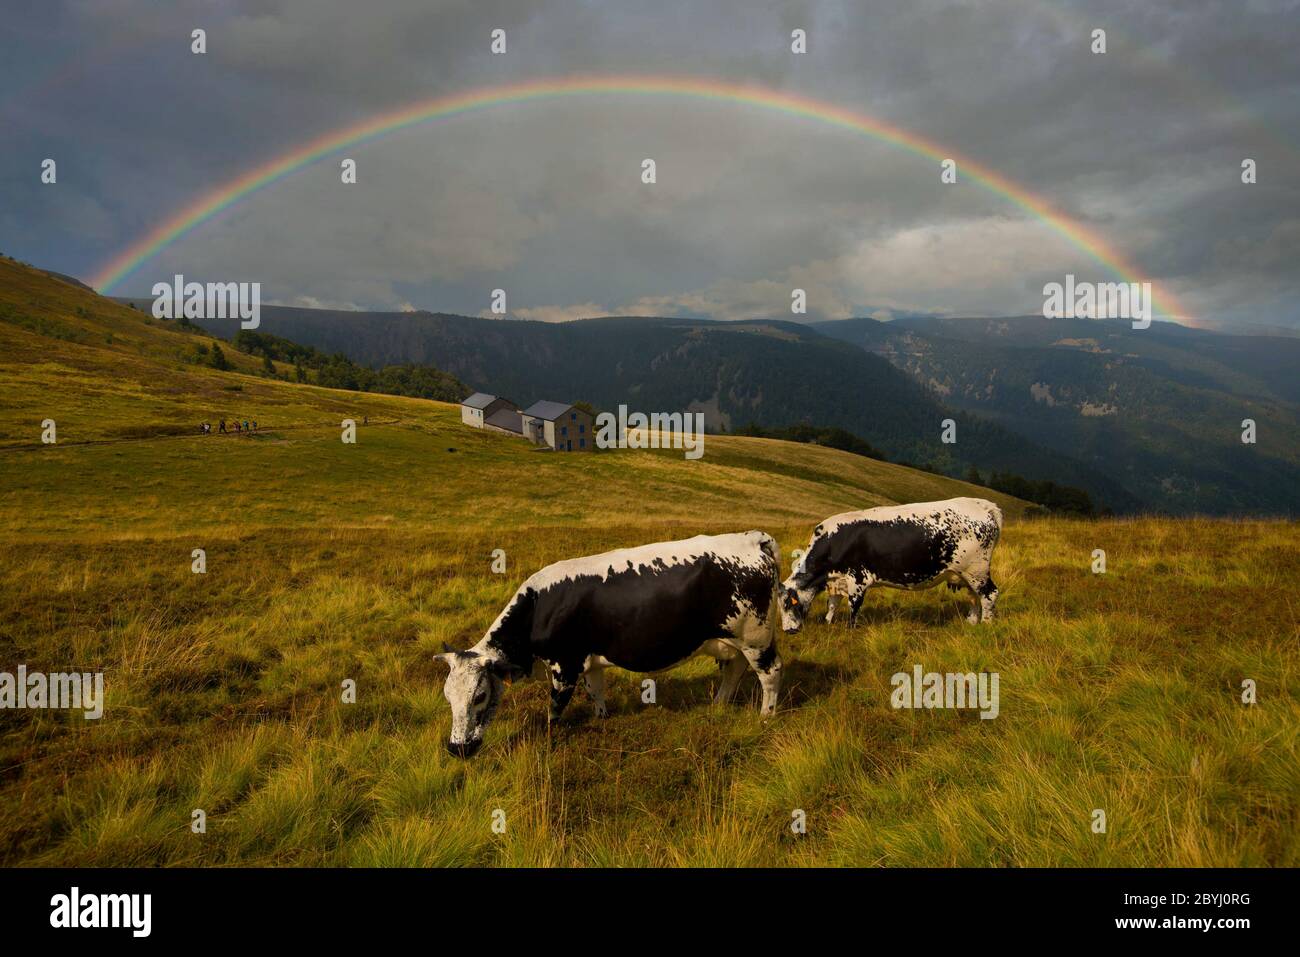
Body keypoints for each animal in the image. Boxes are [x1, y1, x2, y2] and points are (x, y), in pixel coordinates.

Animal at [436, 530, 780, 754]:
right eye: (448, 697)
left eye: (479, 696)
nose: (456, 749)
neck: (538, 606)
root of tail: (753, 538)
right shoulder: (589, 661)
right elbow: (595, 690)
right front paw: (601, 718)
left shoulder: (565, 665)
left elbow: (555, 705)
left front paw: (550, 733)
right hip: (735, 641)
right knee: (734, 671)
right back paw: (719, 704)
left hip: (757, 638)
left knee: (771, 673)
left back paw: (766, 716)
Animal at [780, 496, 1003, 631]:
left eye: (787, 604)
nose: (788, 631)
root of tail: (981, 504)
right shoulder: (837, 580)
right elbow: (833, 603)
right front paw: (828, 622)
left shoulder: (857, 579)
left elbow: (854, 606)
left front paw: (850, 629)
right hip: (967, 573)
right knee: (974, 596)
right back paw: (972, 621)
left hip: (977, 570)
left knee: (989, 594)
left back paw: (986, 624)